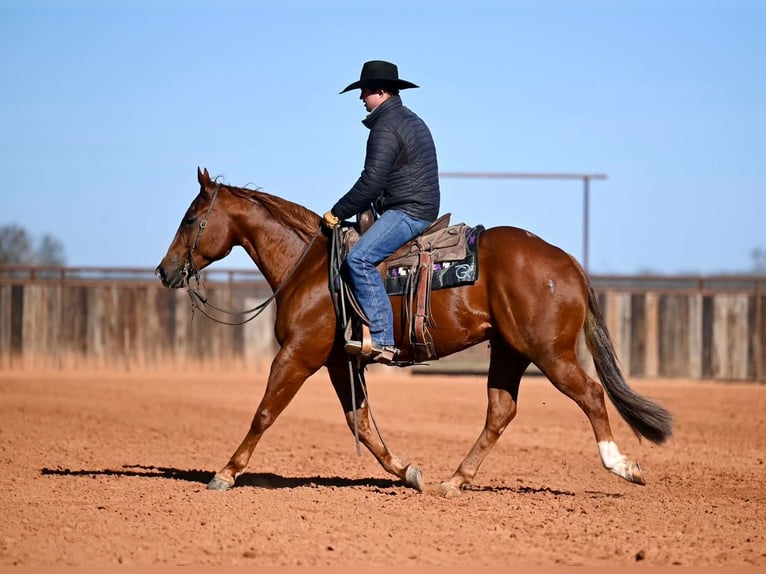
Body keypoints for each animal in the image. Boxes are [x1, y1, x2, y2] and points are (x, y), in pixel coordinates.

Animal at [155, 167, 672, 496]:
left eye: (190, 219)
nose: (164, 271)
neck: (309, 266)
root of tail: (566, 263)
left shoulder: (299, 354)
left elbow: (264, 412)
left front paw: (225, 473)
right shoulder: (339, 362)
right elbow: (362, 423)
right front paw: (408, 472)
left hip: (550, 352)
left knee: (590, 393)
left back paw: (622, 466)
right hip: (510, 351)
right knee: (500, 412)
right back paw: (454, 481)